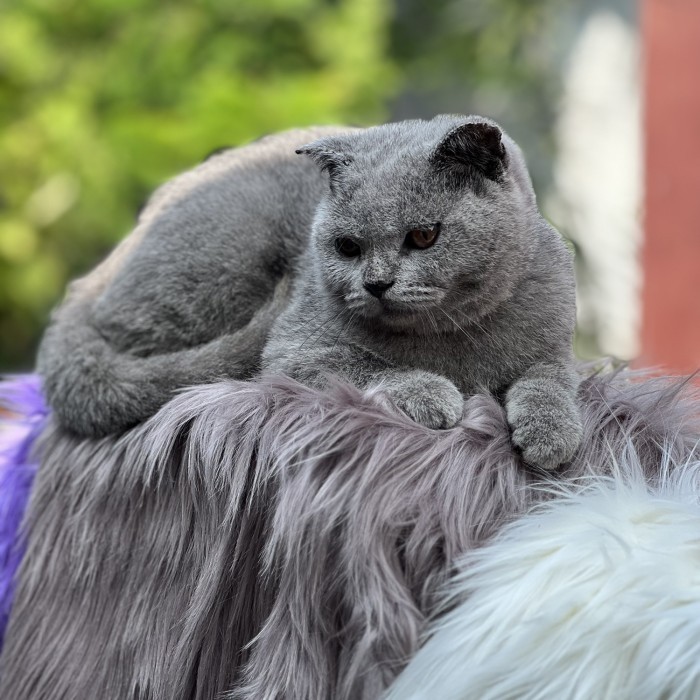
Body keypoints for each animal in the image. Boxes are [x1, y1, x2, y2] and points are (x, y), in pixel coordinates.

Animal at [37, 115, 580, 470]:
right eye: (347, 246)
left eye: (424, 236)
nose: (376, 283)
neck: (454, 337)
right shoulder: (295, 351)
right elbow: (369, 366)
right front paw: (430, 392)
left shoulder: (556, 345)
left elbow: (549, 380)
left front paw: (551, 436)